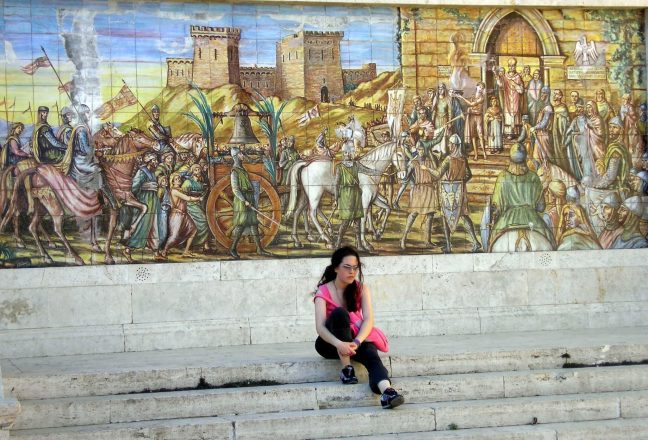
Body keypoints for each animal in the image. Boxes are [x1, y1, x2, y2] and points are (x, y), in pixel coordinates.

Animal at [0, 127, 154, 264]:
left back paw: (46, 255)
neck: (116, 171)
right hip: (53, 205)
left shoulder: (125, 198)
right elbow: (111, 227)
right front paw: (108, 255)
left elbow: (144, 207)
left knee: (32, 226)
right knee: (55, 228)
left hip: (41, 205)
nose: (155, 144)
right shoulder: (114, 206)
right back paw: (75, 257)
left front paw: (128, 232)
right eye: (140, 138)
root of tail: (35, 170)